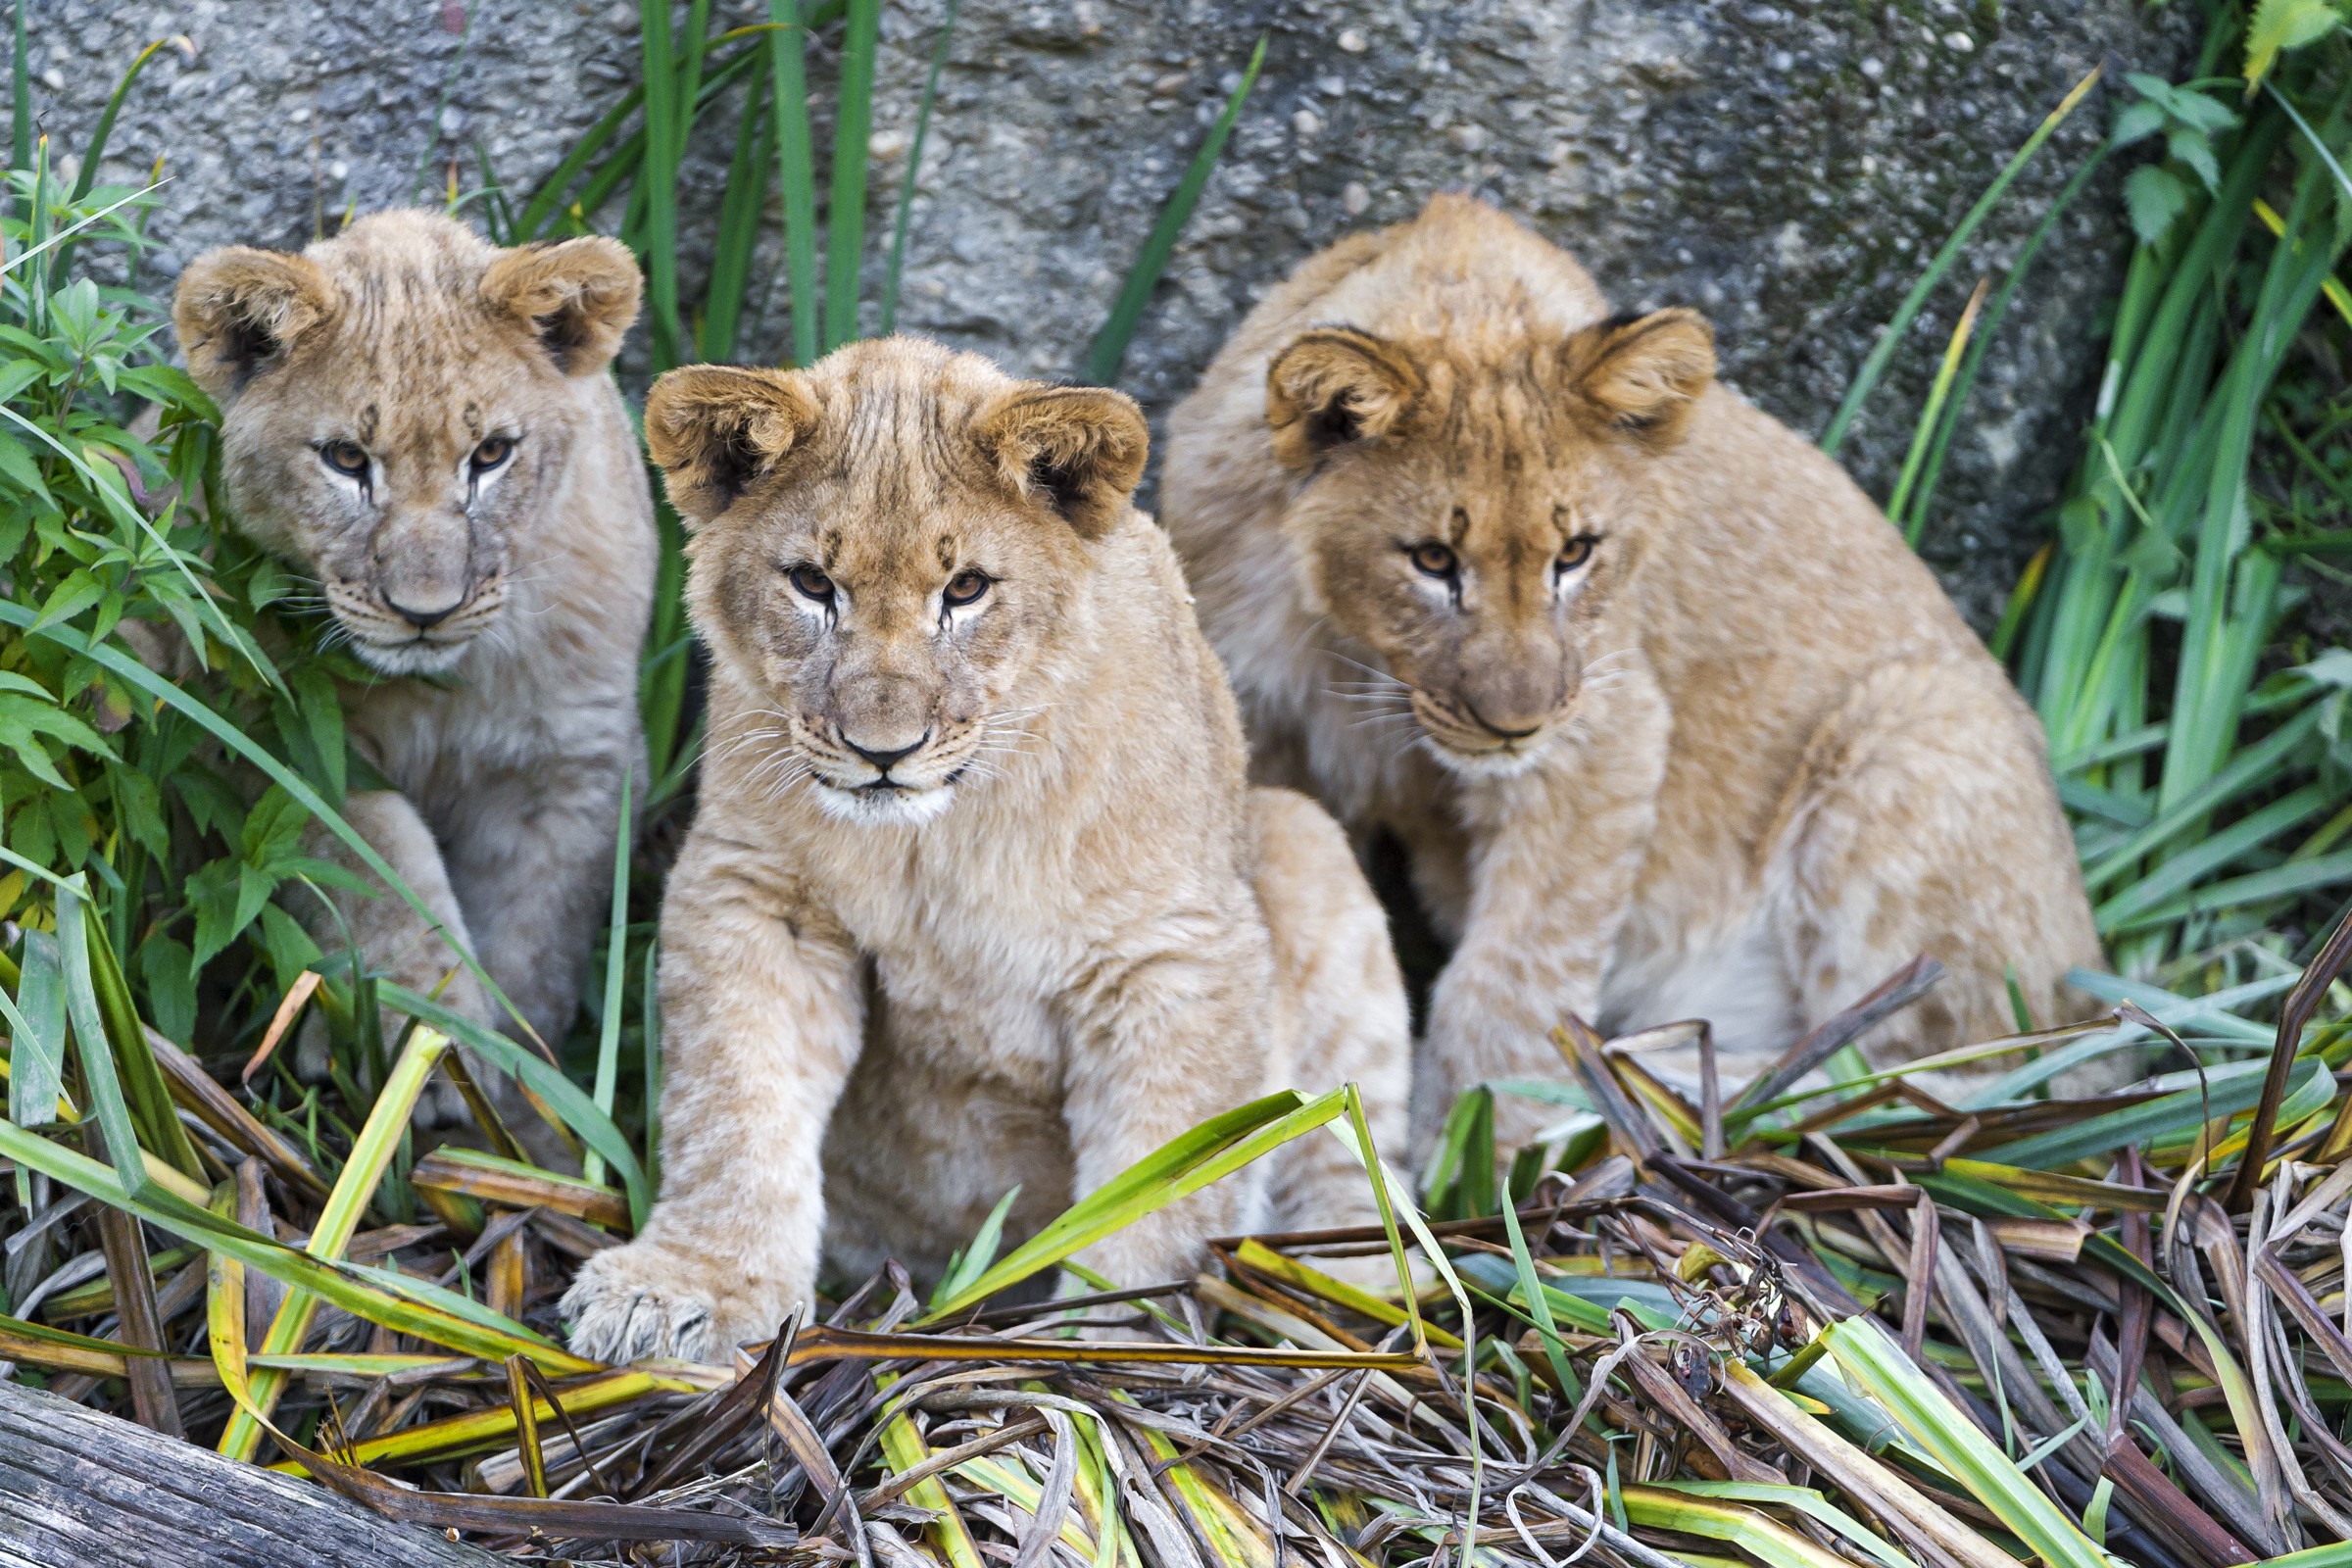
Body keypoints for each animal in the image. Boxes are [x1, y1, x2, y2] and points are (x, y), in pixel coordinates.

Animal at [173, 211, 655, 1142]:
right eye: (346, 459)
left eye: (492, 454)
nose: (424, 611)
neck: (447, 688)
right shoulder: (282, 739)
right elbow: (385, 880)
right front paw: (429, 1051)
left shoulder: (573, 763)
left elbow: (535, 937)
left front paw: (523, 1113)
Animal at [560, 338, 1409, 1363]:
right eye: (812, 584)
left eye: (965, 590)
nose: (882, 751)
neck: (938, 837)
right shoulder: (758, 894)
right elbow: (733, 1103)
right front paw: (687, 1285)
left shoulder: (1175, 951)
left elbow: (1164, 1169)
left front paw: (1112, 1338)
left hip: (1300, 835)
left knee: (1348, 1150)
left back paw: (1365, 1299)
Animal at [1161, 194, 2106, 1143]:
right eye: (1432, 560)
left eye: (1576, 553)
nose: (1518, 724)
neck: (1351, 650)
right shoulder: (1262, 722)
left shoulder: (1605, 732)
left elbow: (1508, 985)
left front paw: (1477, 1150)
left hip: (1913, 725)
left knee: (1978, 1071)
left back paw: (1663, 1083)